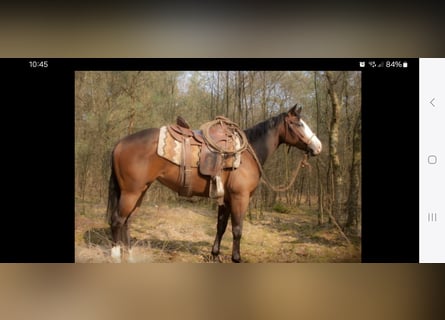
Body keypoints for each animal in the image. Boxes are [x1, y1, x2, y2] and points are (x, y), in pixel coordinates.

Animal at [106, 105, 320, 262]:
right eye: (298, 123)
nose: (318, 146)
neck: (247, 155)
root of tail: (119, 143)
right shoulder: (240, 198)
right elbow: (237, 229)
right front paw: (236, 258)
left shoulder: (226, 199)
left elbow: (221, 227)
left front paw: (215, 255)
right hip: (131, 192)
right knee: (117, 220)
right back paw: (116, 257)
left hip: (140, 191)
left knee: (127, 221)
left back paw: (129, 255)